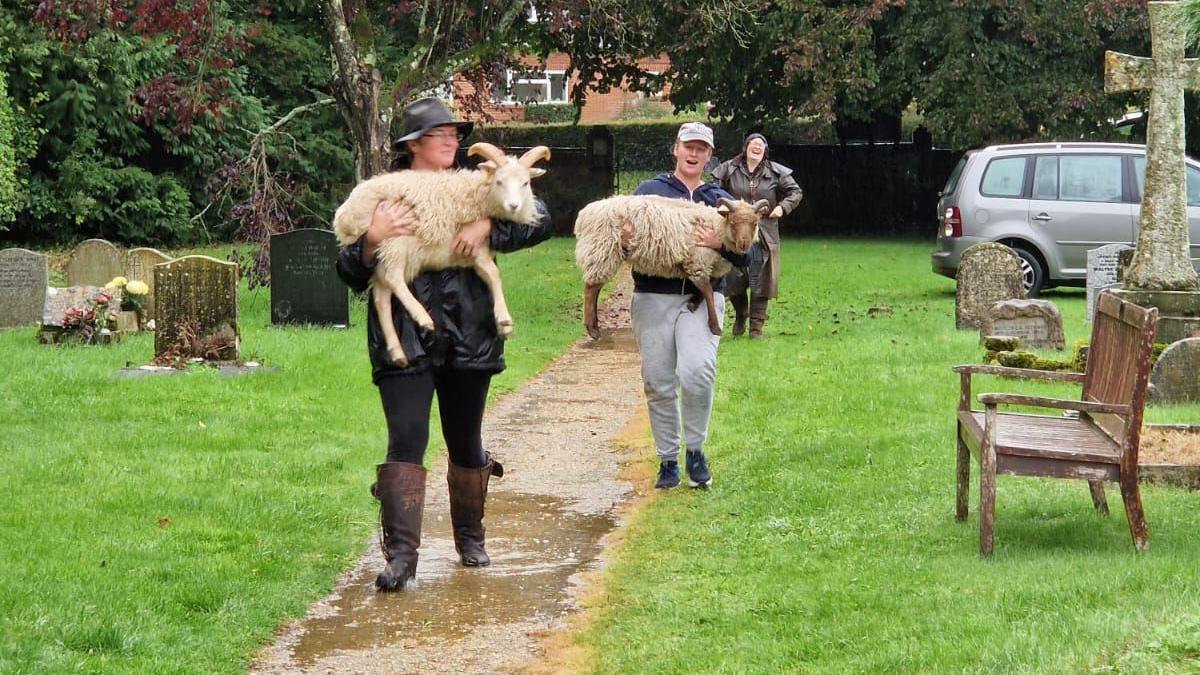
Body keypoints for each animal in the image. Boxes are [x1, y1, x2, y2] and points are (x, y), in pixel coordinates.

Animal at [333, 139, 549, 365]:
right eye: (499, 182)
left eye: (525, 183)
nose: (514, 205)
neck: (478, 195)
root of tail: (344, 217)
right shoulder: (477, 250)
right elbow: (495, 275)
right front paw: (505, 319)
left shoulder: (474, 255)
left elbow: (490, 276)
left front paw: (503, 326)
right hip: (395, 242)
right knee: (393, 278)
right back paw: (423, 318)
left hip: (388, 255)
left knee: (381, 297)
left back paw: (397, 352)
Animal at [573, 195, 768, 338]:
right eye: (733, 222)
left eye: (754, 223)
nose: (744, 245)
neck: (716, 227)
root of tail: (585, 214)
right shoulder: (697, 261)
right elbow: (708, 291)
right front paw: (714, 327)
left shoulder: (707, 266)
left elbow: (710, 286)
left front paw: (693, 303)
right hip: (602, 249)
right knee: (591, 288)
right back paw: (592, 329)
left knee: (596, 287)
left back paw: (594, 325)